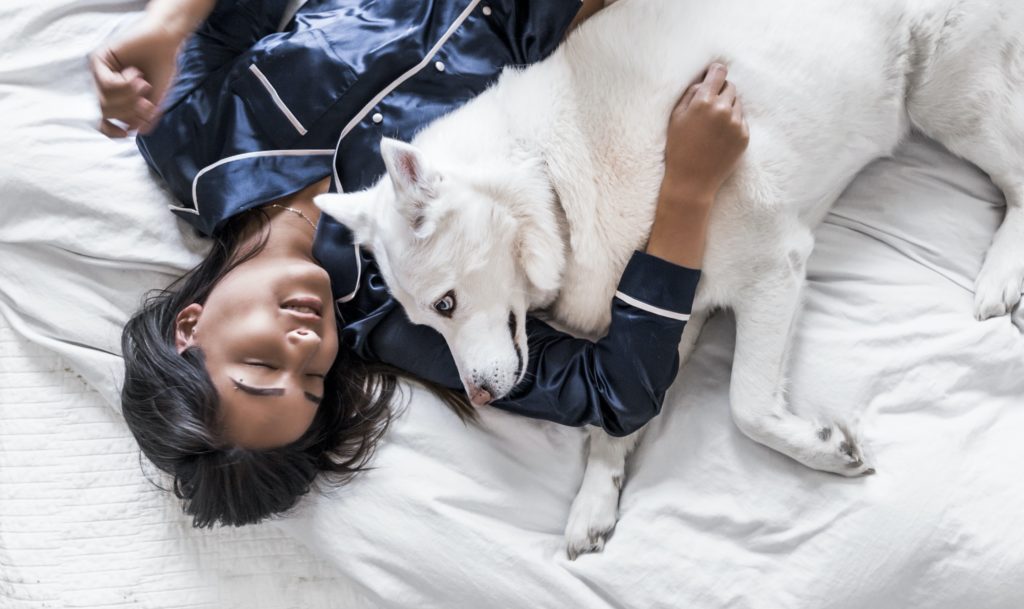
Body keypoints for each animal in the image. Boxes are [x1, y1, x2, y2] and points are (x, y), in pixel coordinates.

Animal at [315, 0, 1019, 556]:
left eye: (446, 303)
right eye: (426, 320)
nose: (482, 397)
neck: (553, 182)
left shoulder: (772, 266)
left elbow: (747, 406)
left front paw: (820, 448)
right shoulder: (670, 314)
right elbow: (617, 422)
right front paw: (595, 500)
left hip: (946, 98)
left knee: (1015, 174)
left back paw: (1000, 274)